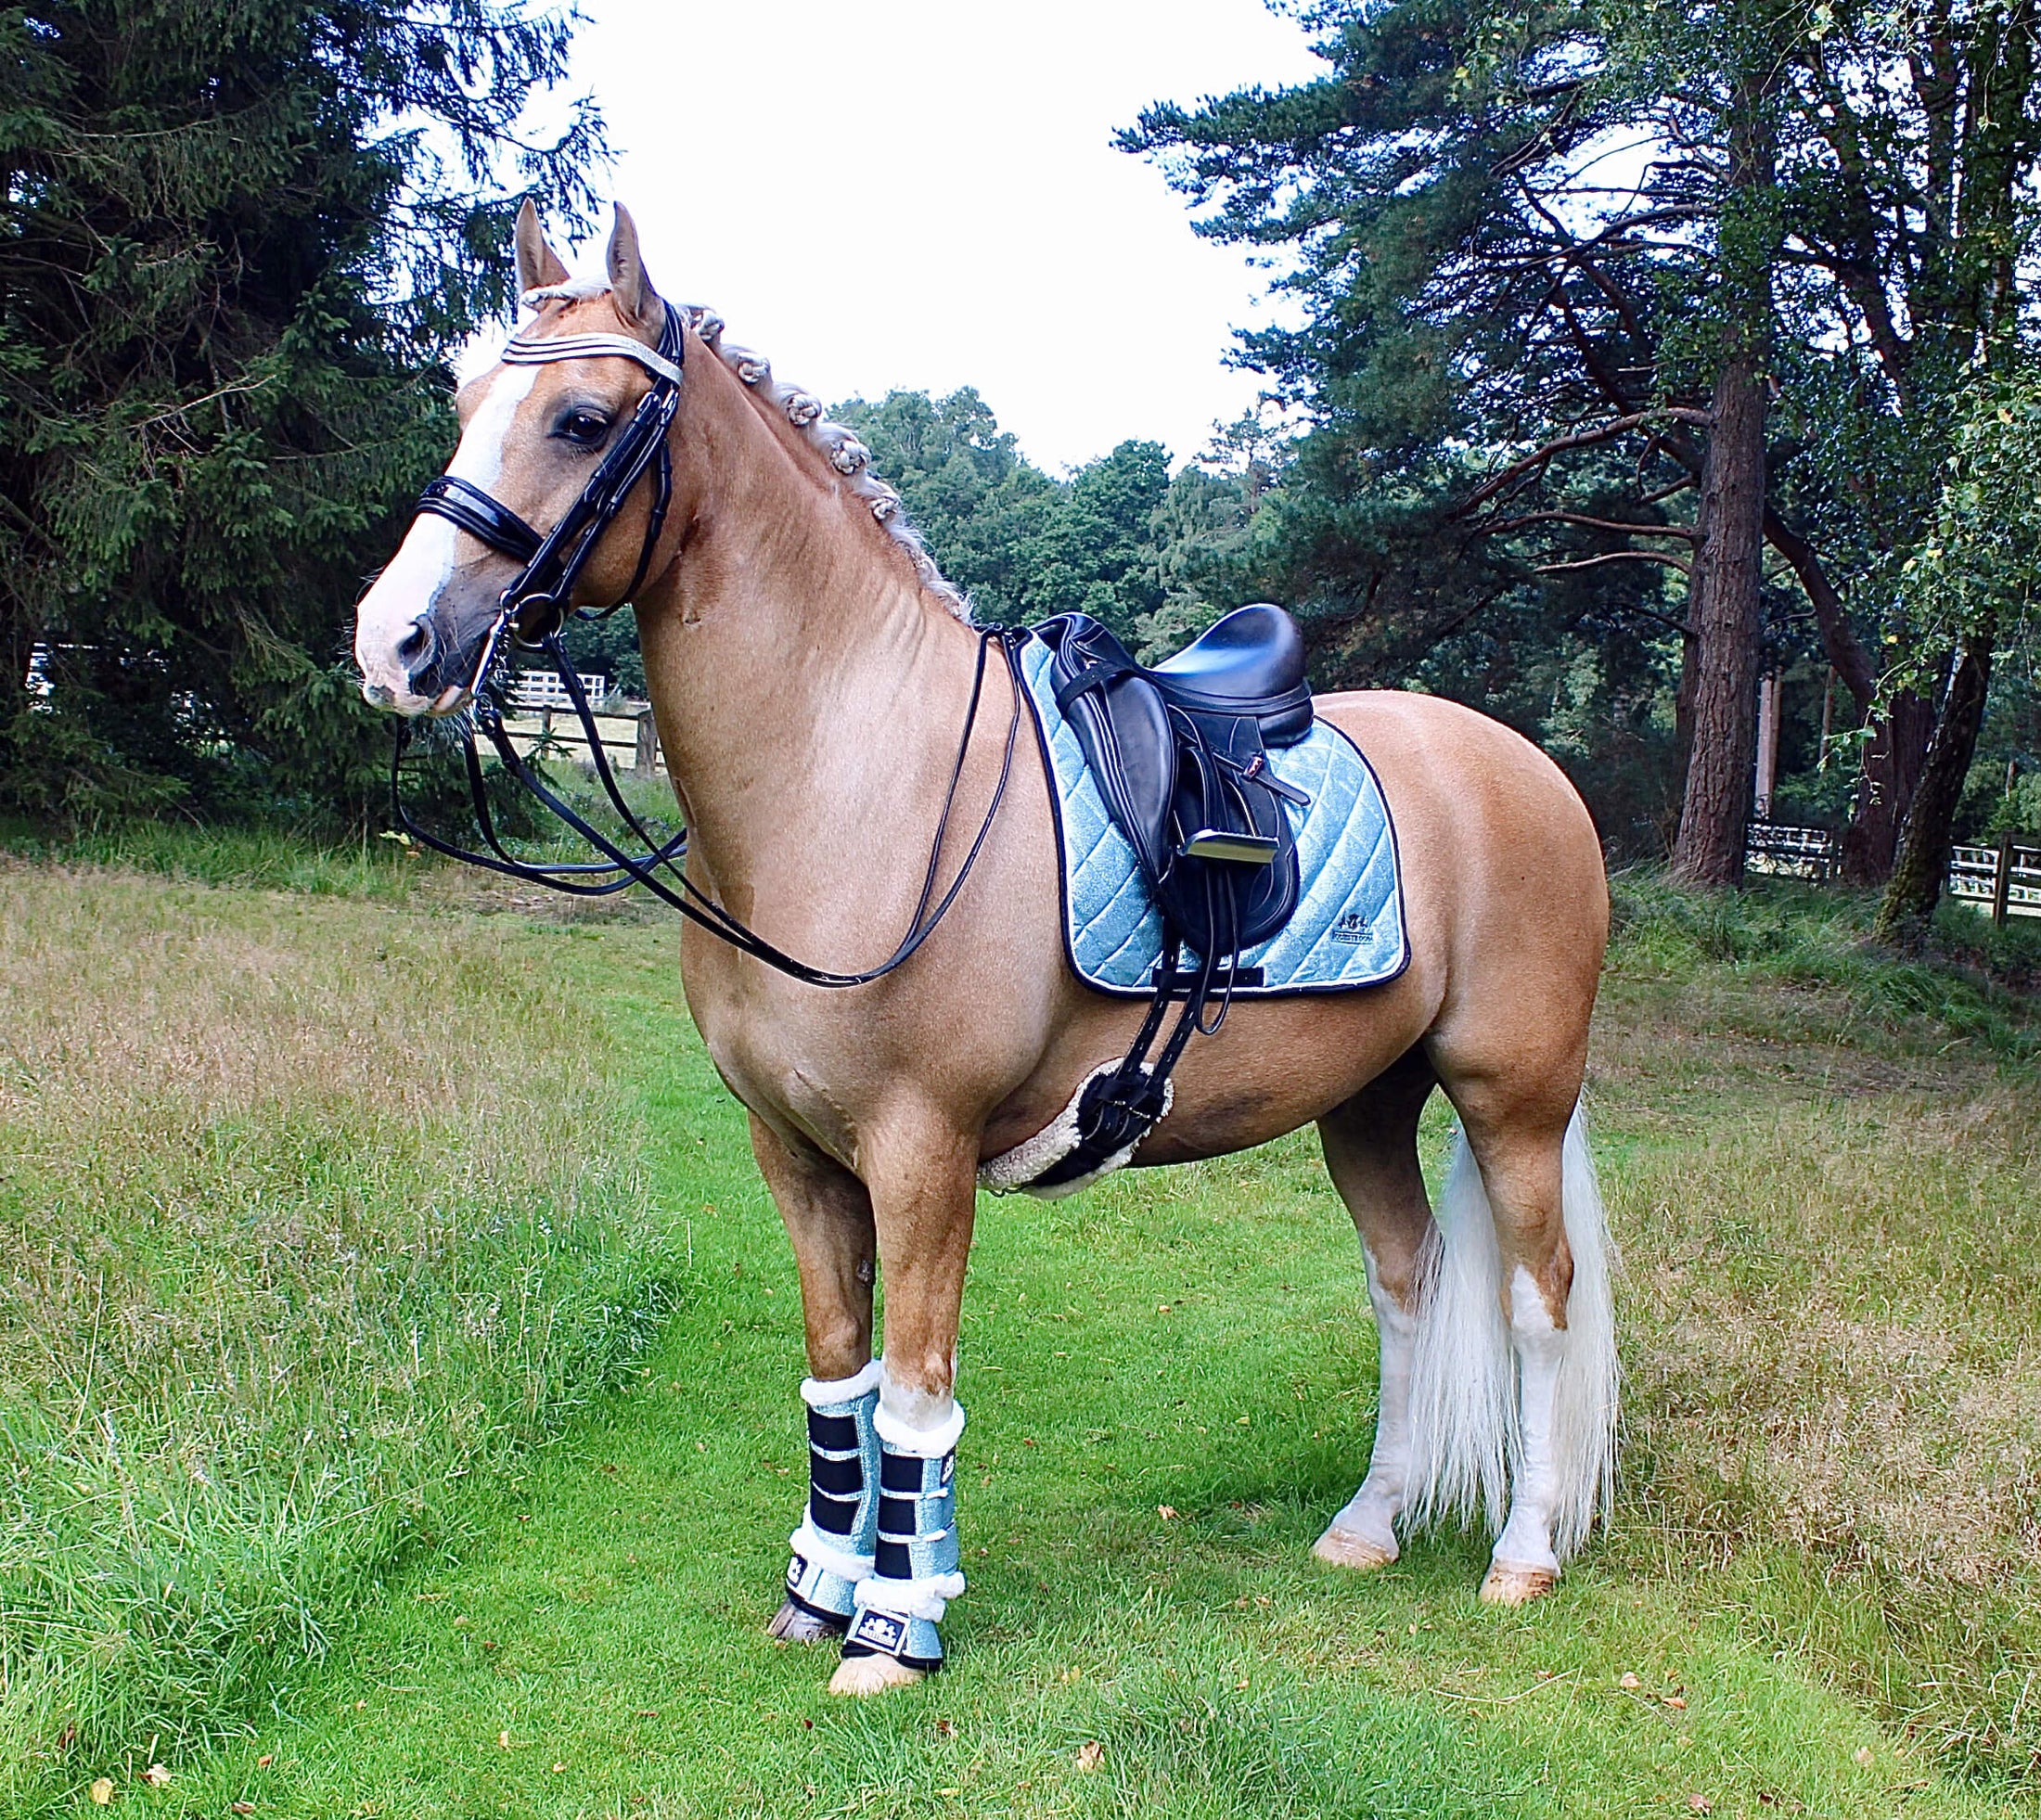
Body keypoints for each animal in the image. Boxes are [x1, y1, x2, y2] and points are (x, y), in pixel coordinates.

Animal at [352, 202, 1616, 1697]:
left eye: (583, 417)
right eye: (461, 402)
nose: (394, 640)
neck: (853, 779)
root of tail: (1527, 768)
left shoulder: (921, 1152)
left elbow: (915, 1398)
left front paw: (896, 1630)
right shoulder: (796, 1155)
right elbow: (838, 1380)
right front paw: (818, 1590)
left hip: (1510, 1100)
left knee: (1538, 1305)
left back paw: (1523, 1552)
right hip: (1366, 1102)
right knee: (1408, 1288)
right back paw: (1368, 1523)